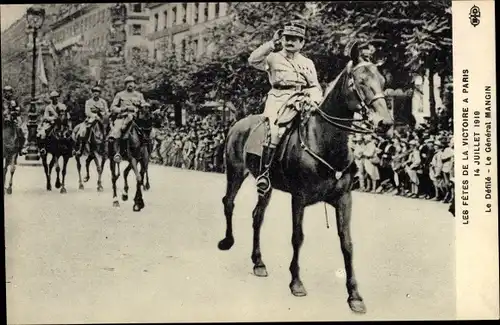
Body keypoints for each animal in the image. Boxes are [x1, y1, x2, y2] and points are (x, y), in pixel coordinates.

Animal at [219, 46, 394, 312]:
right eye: (360, 81)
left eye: (383, 81)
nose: (385, 123)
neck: (323, 140)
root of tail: (238, 123)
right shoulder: (298, 199)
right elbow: (297, 237)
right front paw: (296, 282)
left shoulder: (344, 199)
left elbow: (347, 243)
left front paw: (354, 296)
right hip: (235, 172)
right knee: (229, 202)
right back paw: (228, 241)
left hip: (266, 186)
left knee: (257, 216)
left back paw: (258, 262)